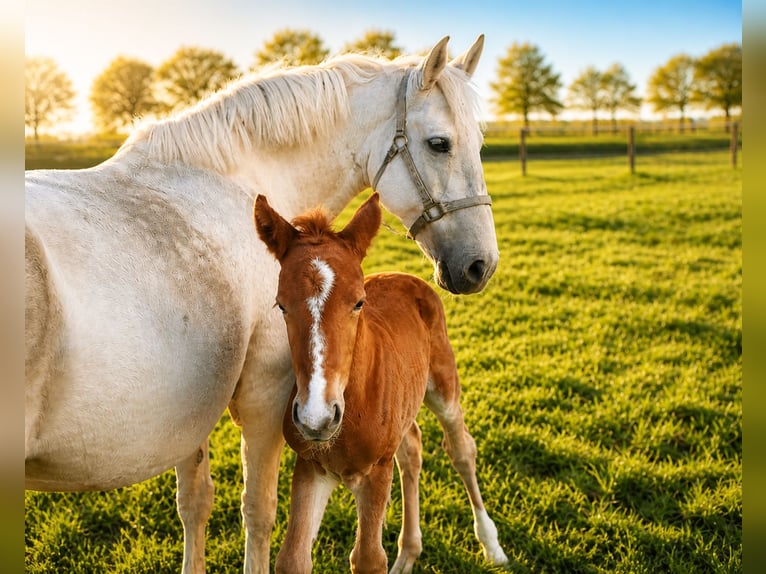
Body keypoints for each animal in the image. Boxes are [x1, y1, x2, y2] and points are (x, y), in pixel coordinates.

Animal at [253, 192, 508, 573]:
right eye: (280, 305)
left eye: (359, 302)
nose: (317, 418)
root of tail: (404, 274)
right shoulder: (311, 467)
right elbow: (292, 558)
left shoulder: (376, 472)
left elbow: (369, 558)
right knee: (412, 446)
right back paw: (408, 555)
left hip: (443, 383)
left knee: (461, 448)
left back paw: (491, 545)